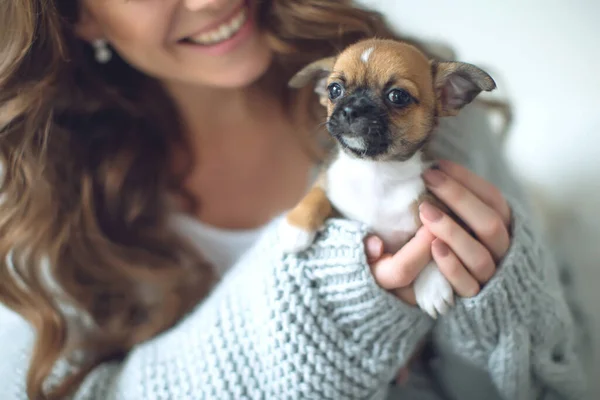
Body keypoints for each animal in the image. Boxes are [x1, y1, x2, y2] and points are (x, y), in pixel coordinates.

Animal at [278, 38, 494, 318]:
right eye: (334, 90)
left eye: (397, 96)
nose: (350, 110)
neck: (376, 171)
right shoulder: (331, 182)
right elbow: (317, 193)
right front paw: (295, 228)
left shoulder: (436, 209)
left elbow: (434, 243)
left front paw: (432, 286)